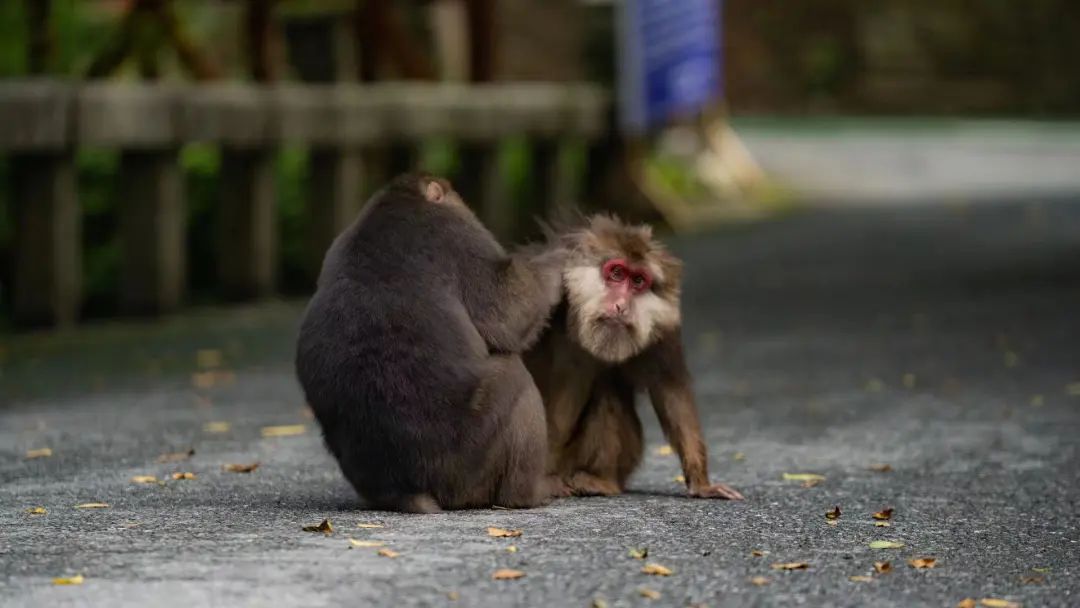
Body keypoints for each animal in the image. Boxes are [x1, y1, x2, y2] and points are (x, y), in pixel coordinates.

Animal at [295, 172, 565, 514]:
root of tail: (407, 491)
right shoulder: (456, 234)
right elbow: (509, 309)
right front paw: (562, 254)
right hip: (468, 462)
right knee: (517, 381)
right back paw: (528, 493)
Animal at [522, 215, 743, 501]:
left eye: (638, 281)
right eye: (617, 274)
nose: (621, 306)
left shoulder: (663, 324)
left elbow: (670, 389)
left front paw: (702, 483)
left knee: (607, 393)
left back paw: (599, 481)